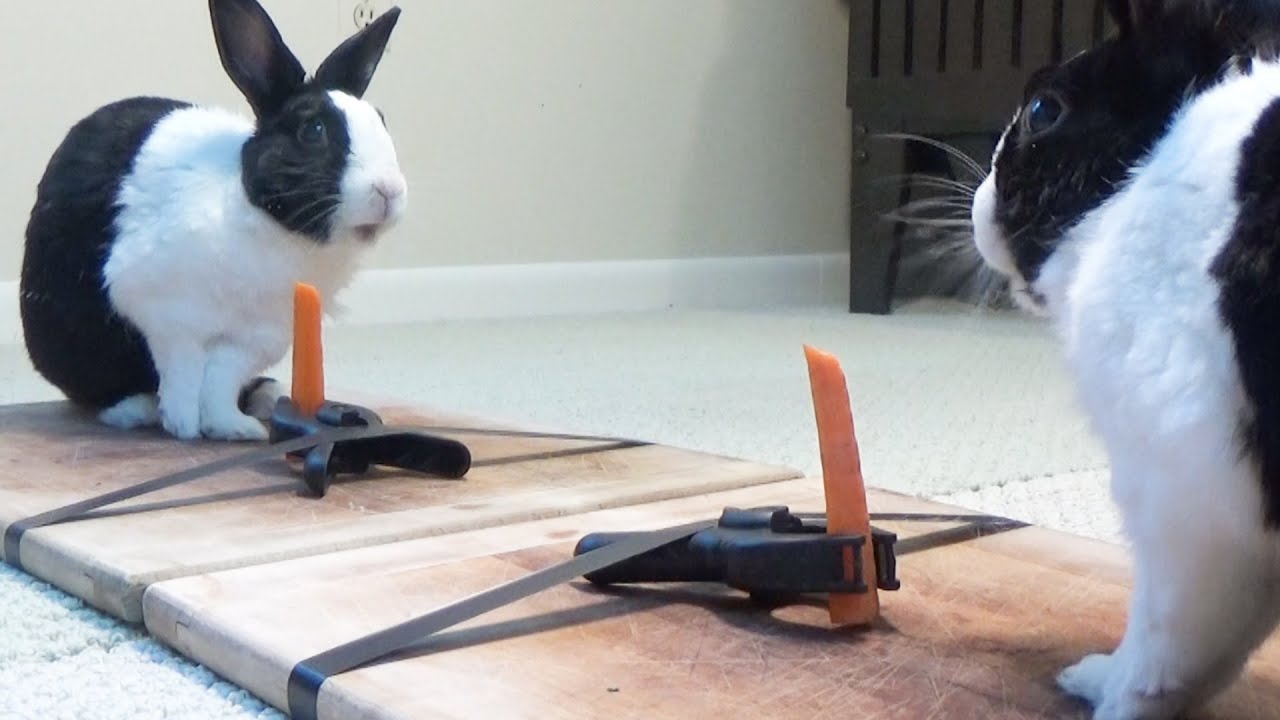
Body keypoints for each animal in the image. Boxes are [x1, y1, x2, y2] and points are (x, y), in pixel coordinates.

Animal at [19, 0, 406, 442]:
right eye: (313, 130)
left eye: (381, 120)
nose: (389, 191)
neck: (266, 222)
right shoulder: (169, 315)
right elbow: (184, 372)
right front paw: (184, 424)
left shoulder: (255, 338)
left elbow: (220, 380)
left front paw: (233, 427)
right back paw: (137, 408)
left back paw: (266, 395)